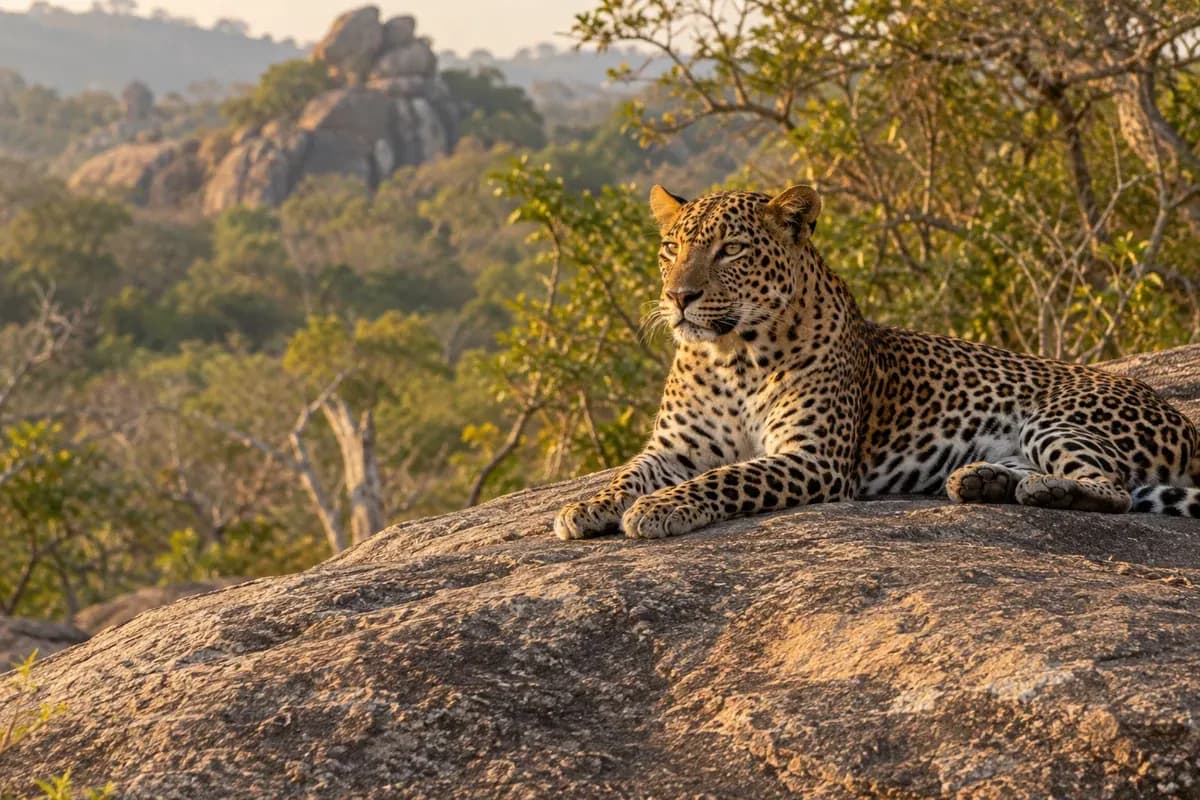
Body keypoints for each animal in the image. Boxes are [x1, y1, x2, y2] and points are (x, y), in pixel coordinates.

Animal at [554, 183, 1200, 541]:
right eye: (671, 248)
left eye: (730, 250)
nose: (678, 296)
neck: (728, 356)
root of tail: (1186, 424)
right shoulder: (676, 449)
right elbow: (628, 473)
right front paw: (587, 505)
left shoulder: (812, 458)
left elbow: (729, 476)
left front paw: (660, 508)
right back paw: (983, 480)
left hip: (1057, 419)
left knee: (1113, 489)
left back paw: (1044, 492)